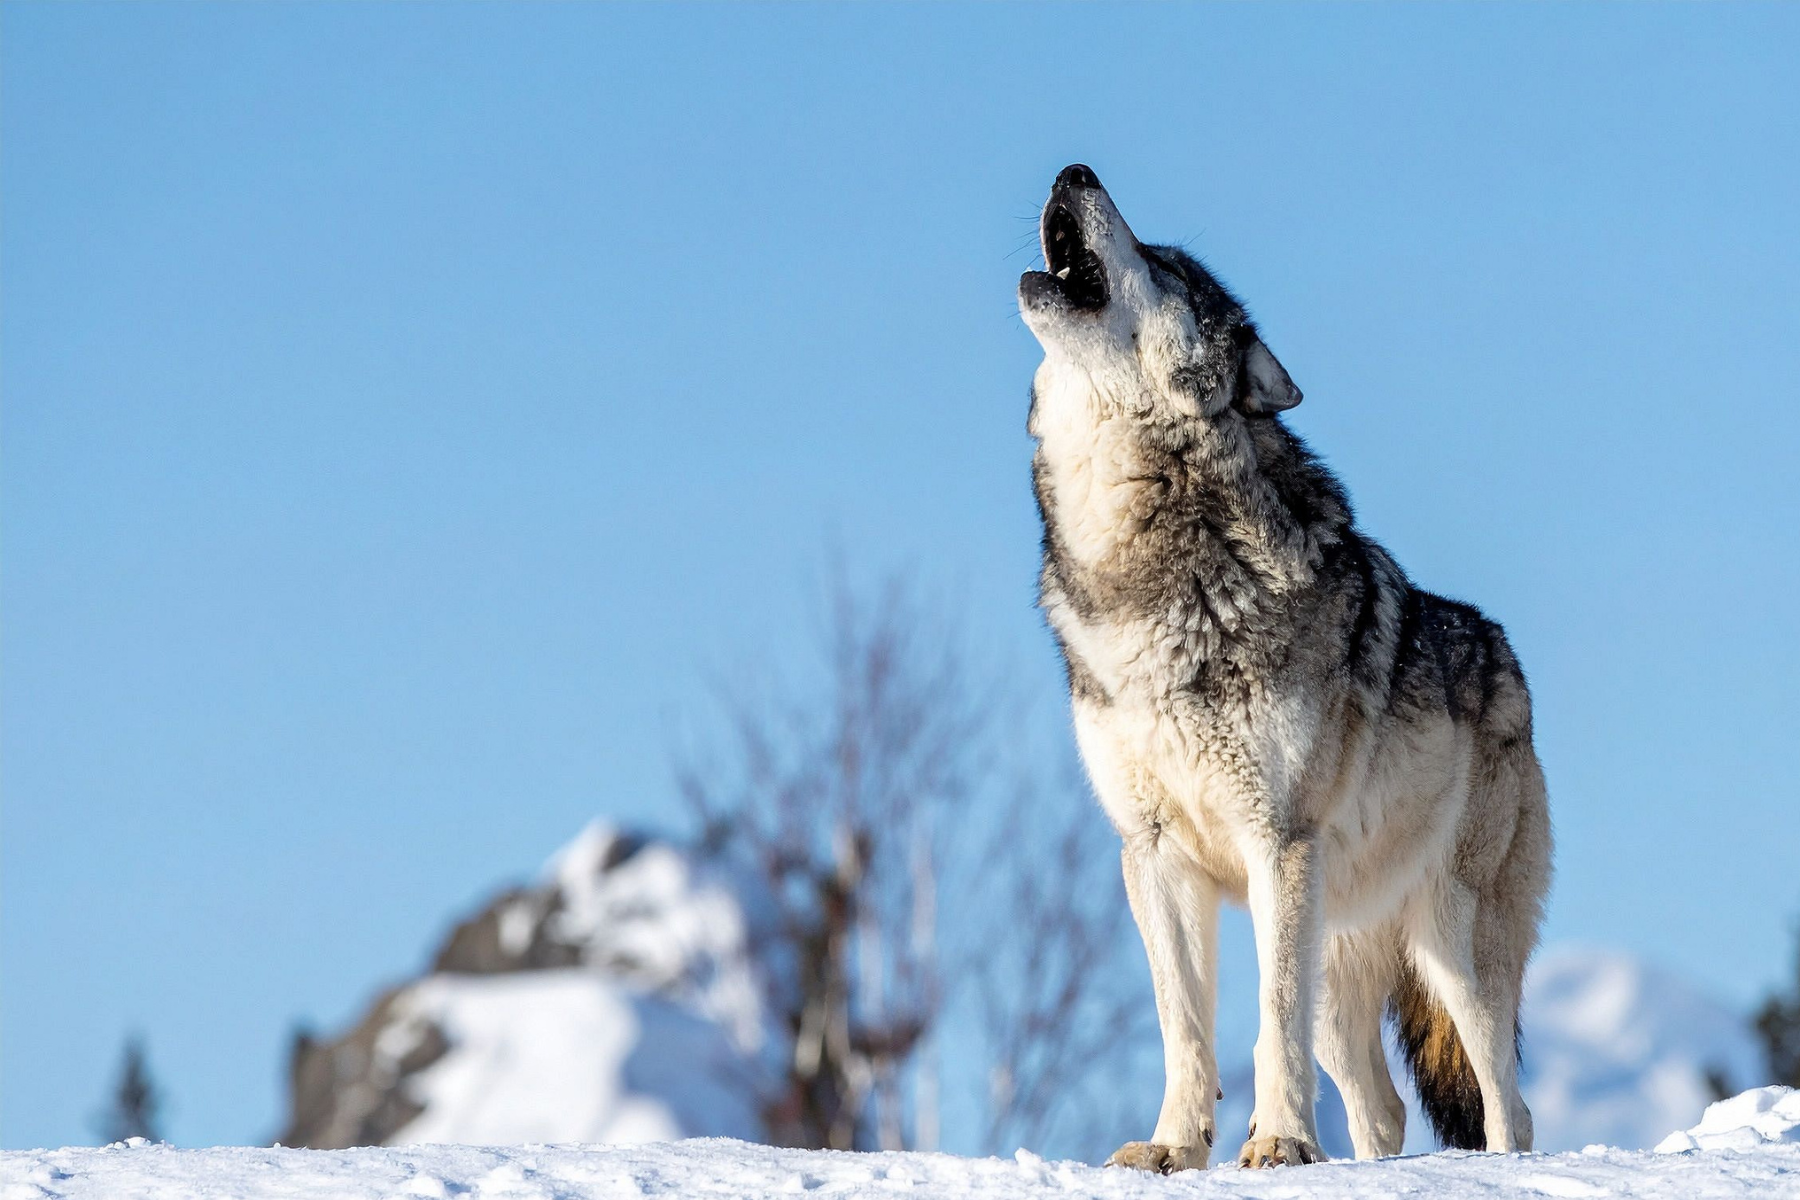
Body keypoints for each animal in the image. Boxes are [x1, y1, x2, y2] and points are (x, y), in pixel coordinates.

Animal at [1018, 165, 1552, 1170]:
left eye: (1167, 266)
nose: (1074, 172)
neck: (1143, 575)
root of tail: (1505, 656)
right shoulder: (1153, 853)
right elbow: (1183, 1026)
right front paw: (1173, 1149)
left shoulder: (1277, 841)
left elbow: (1267, 1020)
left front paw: (1278, 1145)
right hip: (1340, 965)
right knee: (1381, 1110)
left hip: (1451, 944)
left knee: (1507, 1101)